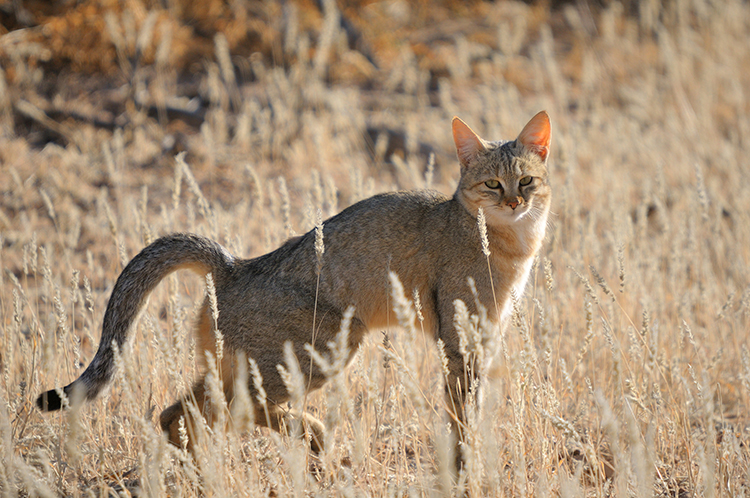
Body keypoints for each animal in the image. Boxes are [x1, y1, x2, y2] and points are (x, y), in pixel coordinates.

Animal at [36, 112, 552, 470]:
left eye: (526, 180)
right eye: (492, 184)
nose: (514, 202)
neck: (510, 248)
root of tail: (235, 265)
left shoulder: (483, 340)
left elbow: (469, 413)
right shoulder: (459, 343)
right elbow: (461, 416)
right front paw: (467, 467)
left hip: (244, 368)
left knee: (177, 414)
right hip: (327, 348)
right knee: (234, 409)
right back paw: (312, 433)